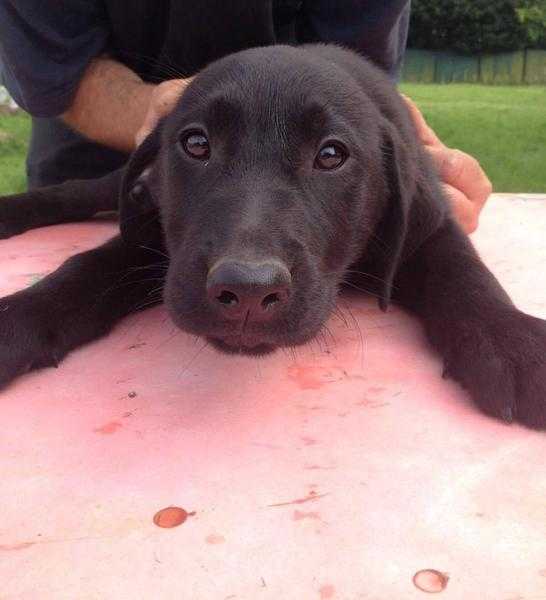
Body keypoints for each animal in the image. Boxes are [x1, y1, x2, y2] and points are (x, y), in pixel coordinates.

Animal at [1, 45, 544, 426]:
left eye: (331, 155)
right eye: (196, 143)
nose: (246, 291)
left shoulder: (429, 222)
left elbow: (461, 267)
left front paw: (511, 339)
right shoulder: (157, 241)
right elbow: (87, 267)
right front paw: (18, 317)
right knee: (72, 191)